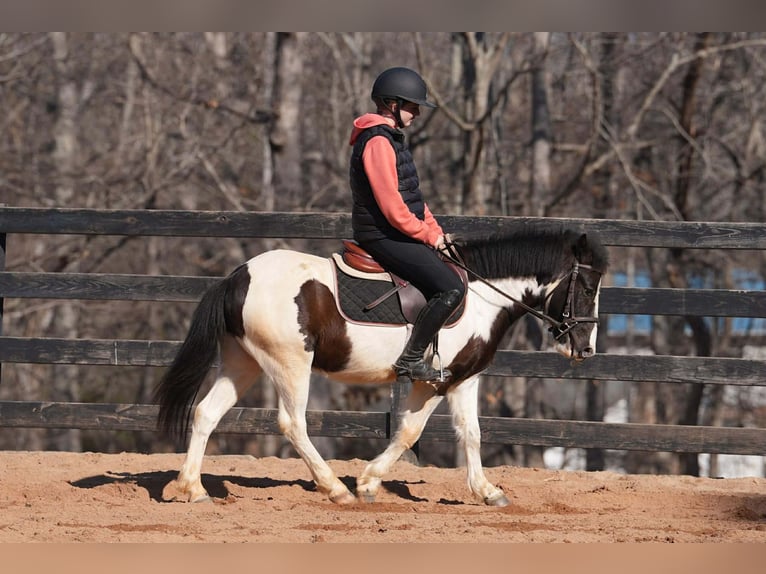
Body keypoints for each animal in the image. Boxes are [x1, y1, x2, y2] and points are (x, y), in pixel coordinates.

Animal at [154, 225, 609, 506]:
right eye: (587, 288)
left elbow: (472, 434)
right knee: (292, 423)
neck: (482, 297)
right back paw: (335, 489)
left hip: (243, 362)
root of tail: (237, 277)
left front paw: (487, 491)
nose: (585, 349)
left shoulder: (464, 379)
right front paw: (367, 482)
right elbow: (409, 431)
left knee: (206, 413)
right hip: (289, 364)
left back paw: (192, 488)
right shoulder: (433, 383)